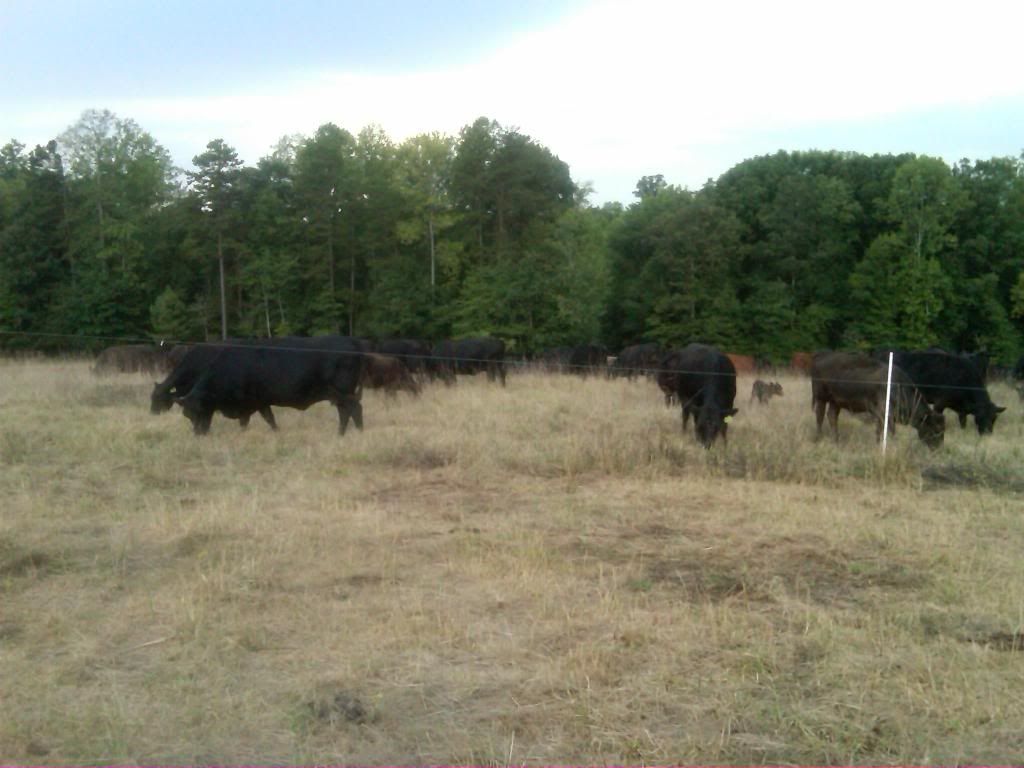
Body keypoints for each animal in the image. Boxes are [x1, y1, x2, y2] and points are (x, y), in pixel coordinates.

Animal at [174, 336, 366, 436]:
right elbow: (268, 418)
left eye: (199, 411)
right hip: (341, 395)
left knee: (353, 409)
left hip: (343, 392)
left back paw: (351, 431)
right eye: (187, 415)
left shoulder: (251, 402)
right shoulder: (261, 402)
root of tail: (350, 341)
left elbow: (257, 419)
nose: (198, 434)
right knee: (347, 411)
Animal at [811, 352, 944, 449]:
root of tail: (821, 356)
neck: (898, 386)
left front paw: (878, 444)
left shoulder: (881, 415)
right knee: (820, 416)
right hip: (821, 397)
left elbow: (879, 430)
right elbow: (890, 430)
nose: (938, 448)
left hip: (836, 401)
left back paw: (836, 440)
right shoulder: (885, 412)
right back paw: (818, 438)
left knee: (832, 416)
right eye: (936, 429)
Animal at [876, 350, 1005, 435]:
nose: (987, 434)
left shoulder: (962, 408)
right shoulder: (940, 403)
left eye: (994, 418)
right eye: (981, 416)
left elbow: (963, 422)